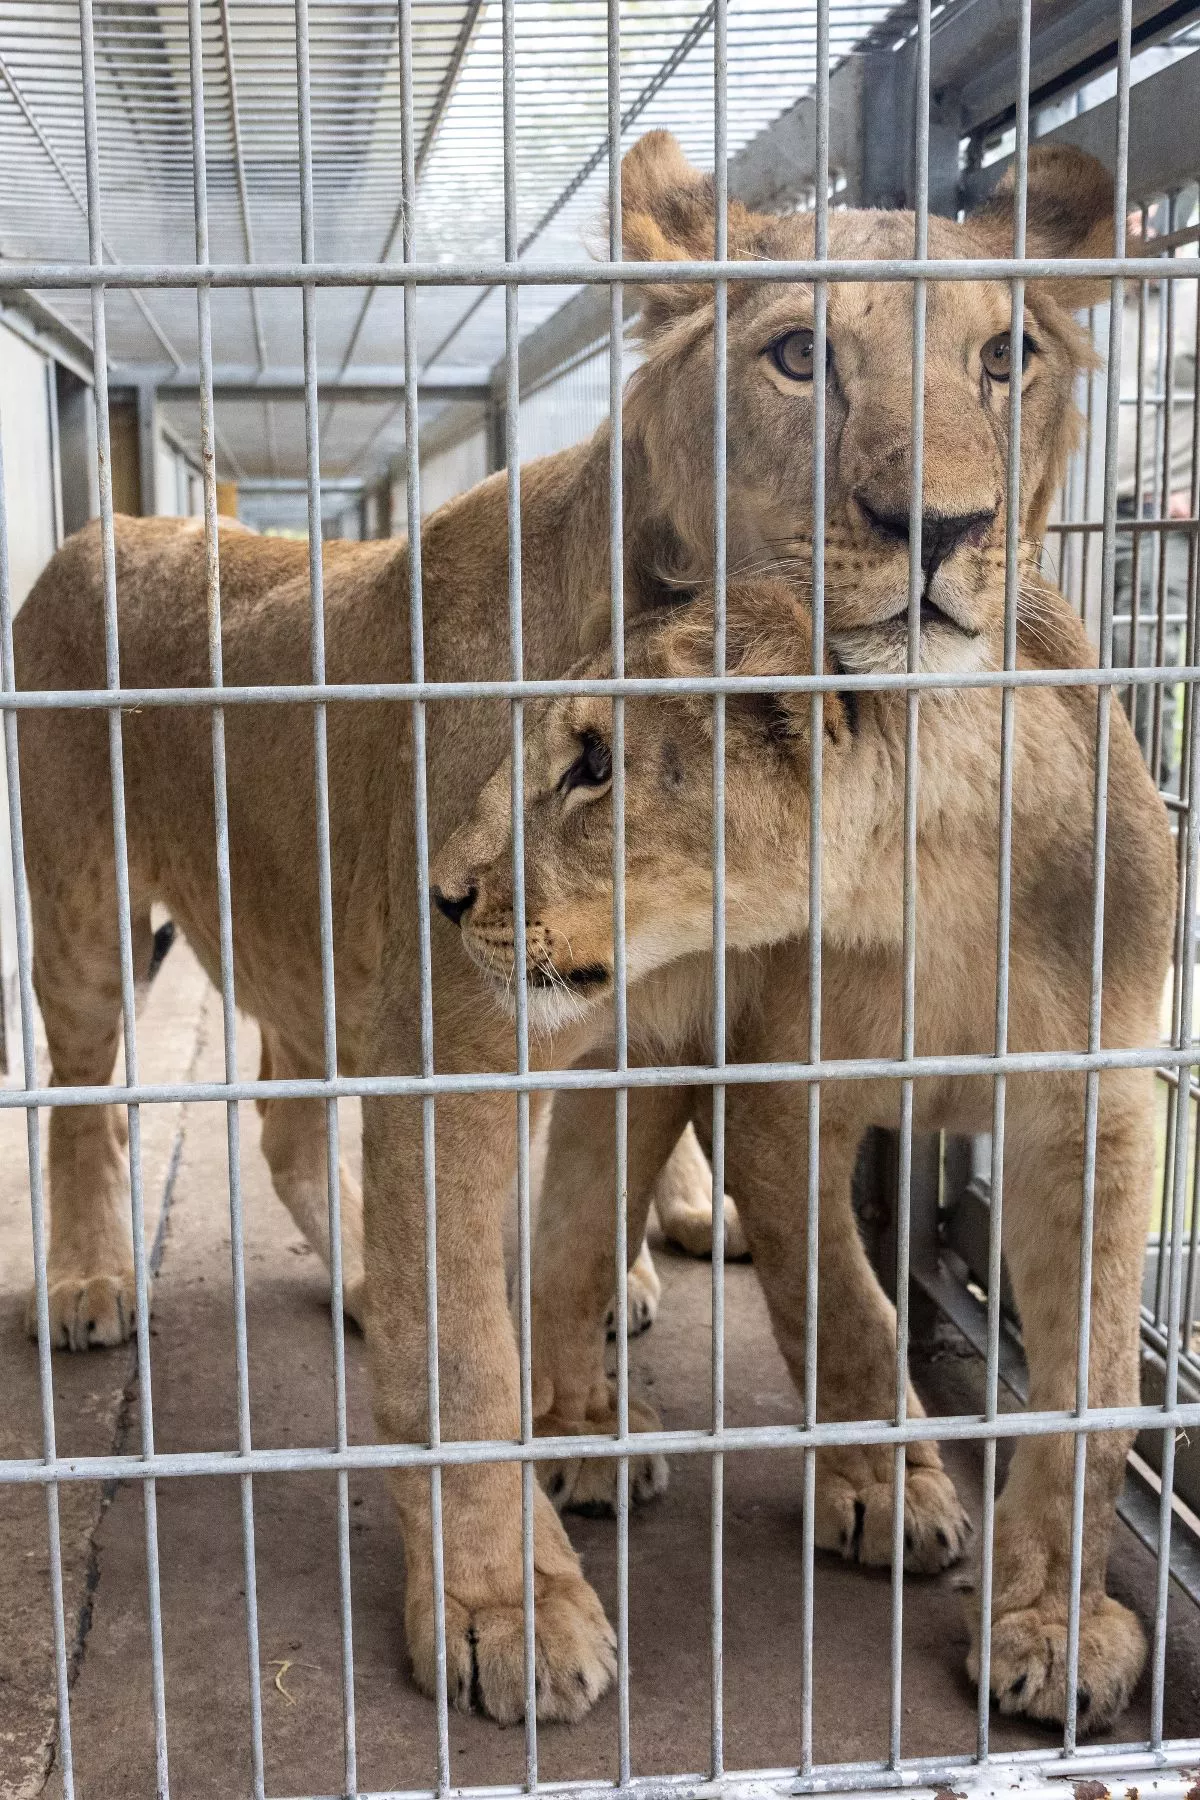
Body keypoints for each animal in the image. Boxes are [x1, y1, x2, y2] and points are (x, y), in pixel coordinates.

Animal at [12, 129, 1155, 1728]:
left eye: (1010, 360)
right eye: (799, 356)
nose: (942, 530)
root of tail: (102, 528)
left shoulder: (682, 1030)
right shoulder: (468, 1052)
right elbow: (476, 1359)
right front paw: (507, 1601)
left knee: (298, 1123)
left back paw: (371, 1280)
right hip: (89, 919)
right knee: (80, 1100)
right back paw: (92, 1282)